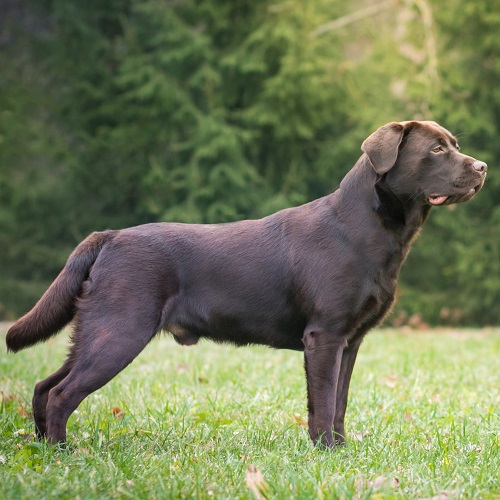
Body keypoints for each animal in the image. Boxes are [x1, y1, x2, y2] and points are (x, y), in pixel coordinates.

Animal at [5, 120, 486, 446]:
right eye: (437, 149)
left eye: (456, 146)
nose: (482, 167)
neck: (365, 227)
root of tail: (109, 236)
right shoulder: (324, 336)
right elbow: (323, 402)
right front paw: (326, 453)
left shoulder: (351, 341)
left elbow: (341, 403)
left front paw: (343, 449)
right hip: (120, 330)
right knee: (62, 392)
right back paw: (64, 452)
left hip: (97, 329)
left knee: (44, 386)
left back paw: (44, 448)